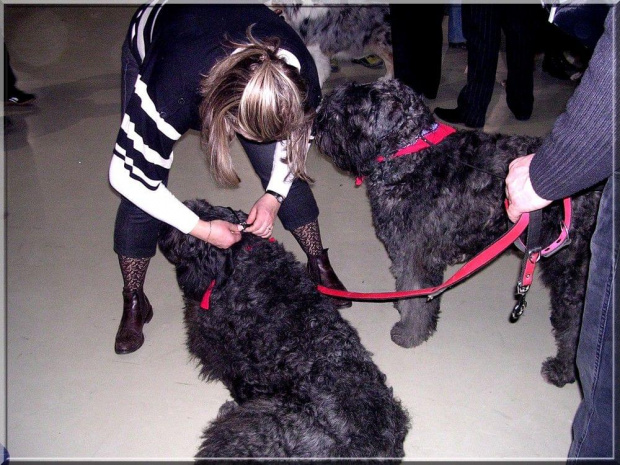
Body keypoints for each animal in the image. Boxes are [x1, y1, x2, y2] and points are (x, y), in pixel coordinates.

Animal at [314, 80, 600, 388]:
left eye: (351, 110)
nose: (318, 122)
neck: (410, 155)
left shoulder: (418, 255)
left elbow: (417, 296)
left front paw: (410, 333)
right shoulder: (403, 250)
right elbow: (406, 288)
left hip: (569, 267)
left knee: (575, 321)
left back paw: (563, 368)